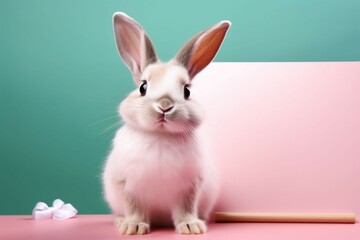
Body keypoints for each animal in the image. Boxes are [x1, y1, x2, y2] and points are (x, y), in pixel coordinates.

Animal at [102, 12, 231, 235]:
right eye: (143, 87)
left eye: (186, 91)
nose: (164, 106)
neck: (160, 135)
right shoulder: (127, 185)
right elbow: (134, 207)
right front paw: (134, 227)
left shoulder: (190, 187)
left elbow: (186, 208)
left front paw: (191, 227)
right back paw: (120, 221)